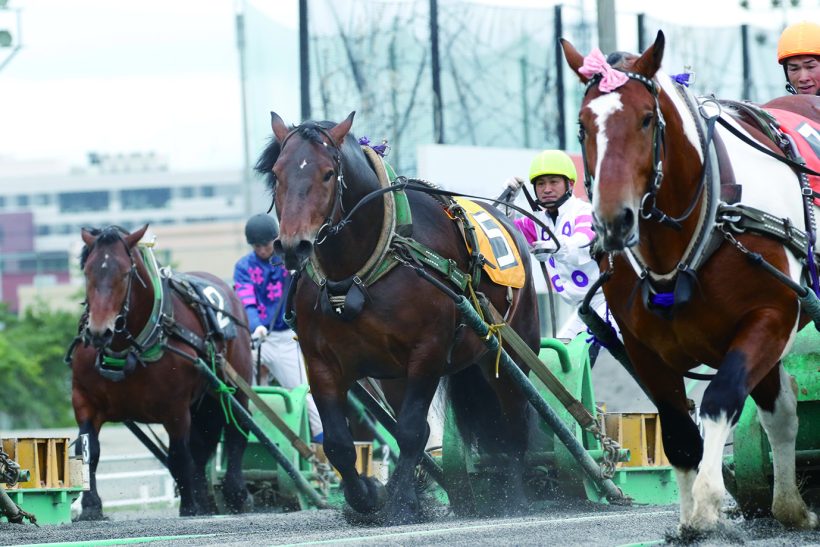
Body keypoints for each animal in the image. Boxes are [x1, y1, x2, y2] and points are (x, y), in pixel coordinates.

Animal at [71, 225, 253, 520]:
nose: (99, 331)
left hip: (234, 383)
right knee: (202, 444)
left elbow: (179, 455)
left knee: (237, 427)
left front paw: (189, 505)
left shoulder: (175, 407)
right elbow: (88, 451)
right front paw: (90, 506)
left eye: (125, 273)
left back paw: (235, 493)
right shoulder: (85, 399)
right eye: (87, 271)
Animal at [253, 112, 540, 528]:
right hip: (393, 376)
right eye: (277, 173)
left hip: (508, 351)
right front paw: (367, 497)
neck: (356, 271)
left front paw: (402, 504)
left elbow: (409, 431)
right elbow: (339, 442)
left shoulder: (428, 350)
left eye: (327, 173)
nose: (295, 246)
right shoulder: (320, 360)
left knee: (514, 421)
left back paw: (514, 497)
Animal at [564, 32, 820, 532]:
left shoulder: (771, 316)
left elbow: (721, 397)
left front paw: (707, 500)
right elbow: (680, 431)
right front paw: (690, 523)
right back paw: (788, 506)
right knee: (779, 412)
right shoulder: (644, 346)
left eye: (646, 119)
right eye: (583, 126)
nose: (613, 221)